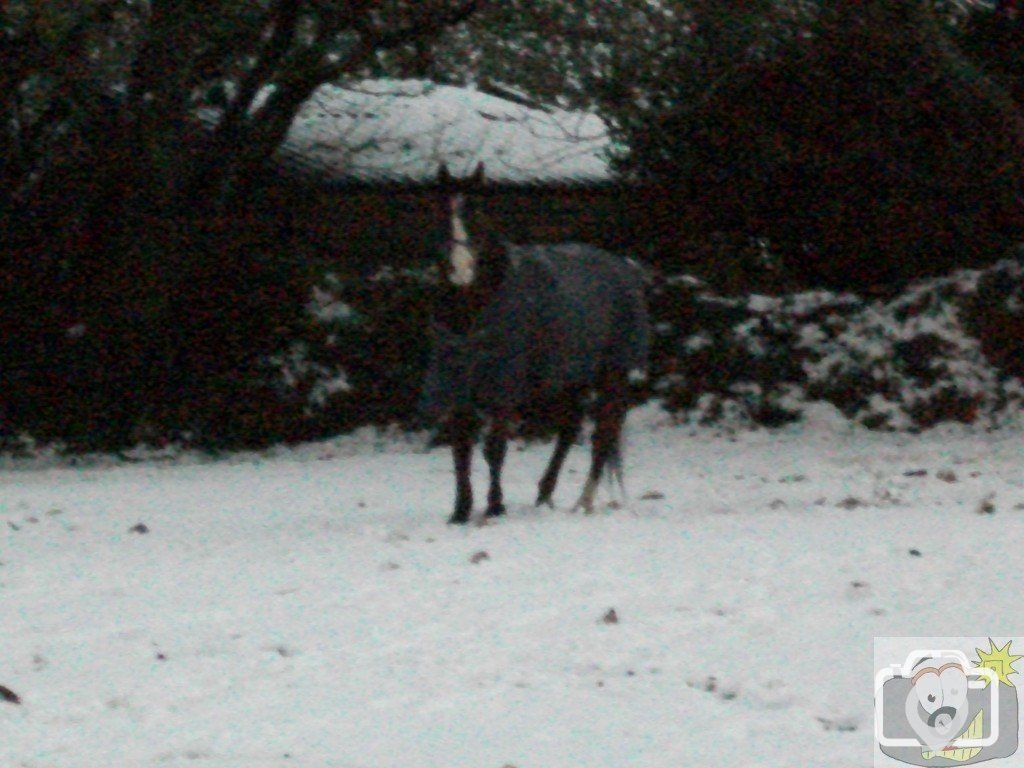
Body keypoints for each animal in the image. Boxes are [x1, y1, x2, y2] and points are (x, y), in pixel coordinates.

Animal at [421, 164, 647, 528]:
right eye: (441, 212)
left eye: (477, 212)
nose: (461, 268)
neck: (476, 311)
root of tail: (624, 268)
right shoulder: (458, 381)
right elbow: (461, 447)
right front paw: (460, 511)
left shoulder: (504, 384)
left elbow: (494, 447)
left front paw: (494, 508)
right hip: (569, 378)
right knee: (569, 430)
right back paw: (544, 496)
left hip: (613, 373)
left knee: (602, 436)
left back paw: (583, 502)